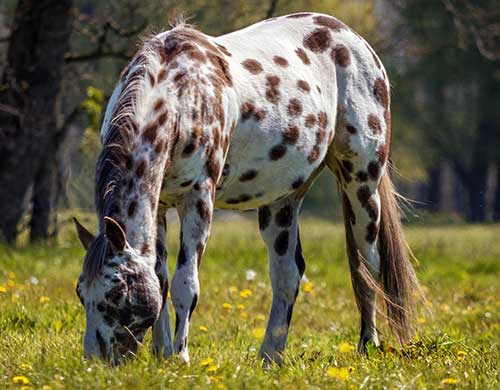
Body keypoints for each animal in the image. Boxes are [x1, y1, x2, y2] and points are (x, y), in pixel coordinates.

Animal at [72, 12, 420, 366]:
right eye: (80, 292)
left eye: (115, 293)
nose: (95, 361)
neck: (180, 95)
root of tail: (352, 38)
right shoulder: (159, 206)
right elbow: (161, 278)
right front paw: (163, 353)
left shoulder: (198, 199)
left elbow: (186, 284)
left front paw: (180, 357)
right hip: (282, 201)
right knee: (287, 275)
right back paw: (270, 356)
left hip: (361, 185)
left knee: (367, 266)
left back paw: (368, 345)